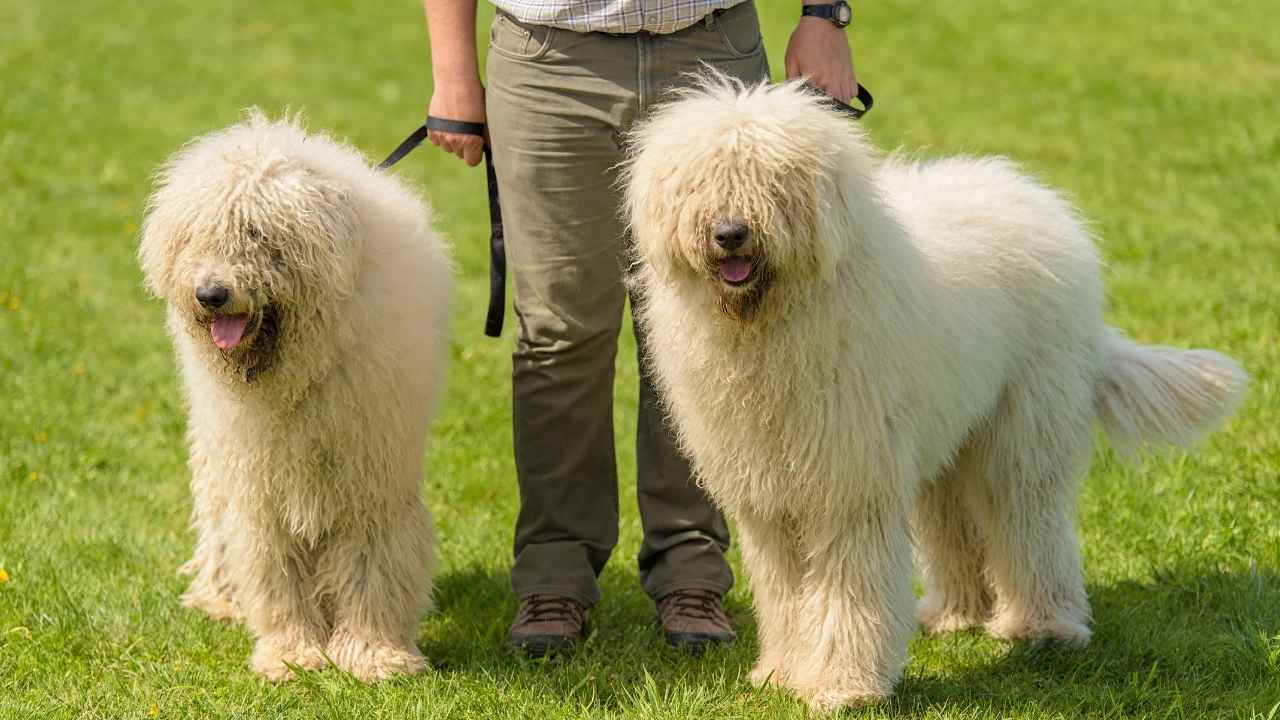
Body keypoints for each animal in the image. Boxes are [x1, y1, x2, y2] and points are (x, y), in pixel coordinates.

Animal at [138, 112, 450, 676]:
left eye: (258, 232)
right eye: (198, 234)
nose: (211, 294)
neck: (297, 372)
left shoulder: (369, 473)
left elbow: (371, 562)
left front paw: (374, 654)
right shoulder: (262, 485)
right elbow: (275, 571)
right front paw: (292, 655)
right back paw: (221, 598)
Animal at [624, 79, 1244, 712]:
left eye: (771, 181)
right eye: (698, 183)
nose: (729, 234)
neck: (770, 324)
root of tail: (1039, 201)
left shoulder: (850, 483)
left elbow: (847, 588)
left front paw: (842, 687)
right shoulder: (769, 495)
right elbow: (785, 593)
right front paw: (782, 673)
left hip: (1024, 424)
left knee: (1031, 520)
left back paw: (1047, 626)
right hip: (948, 429)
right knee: (952, 521)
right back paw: (956, 614)